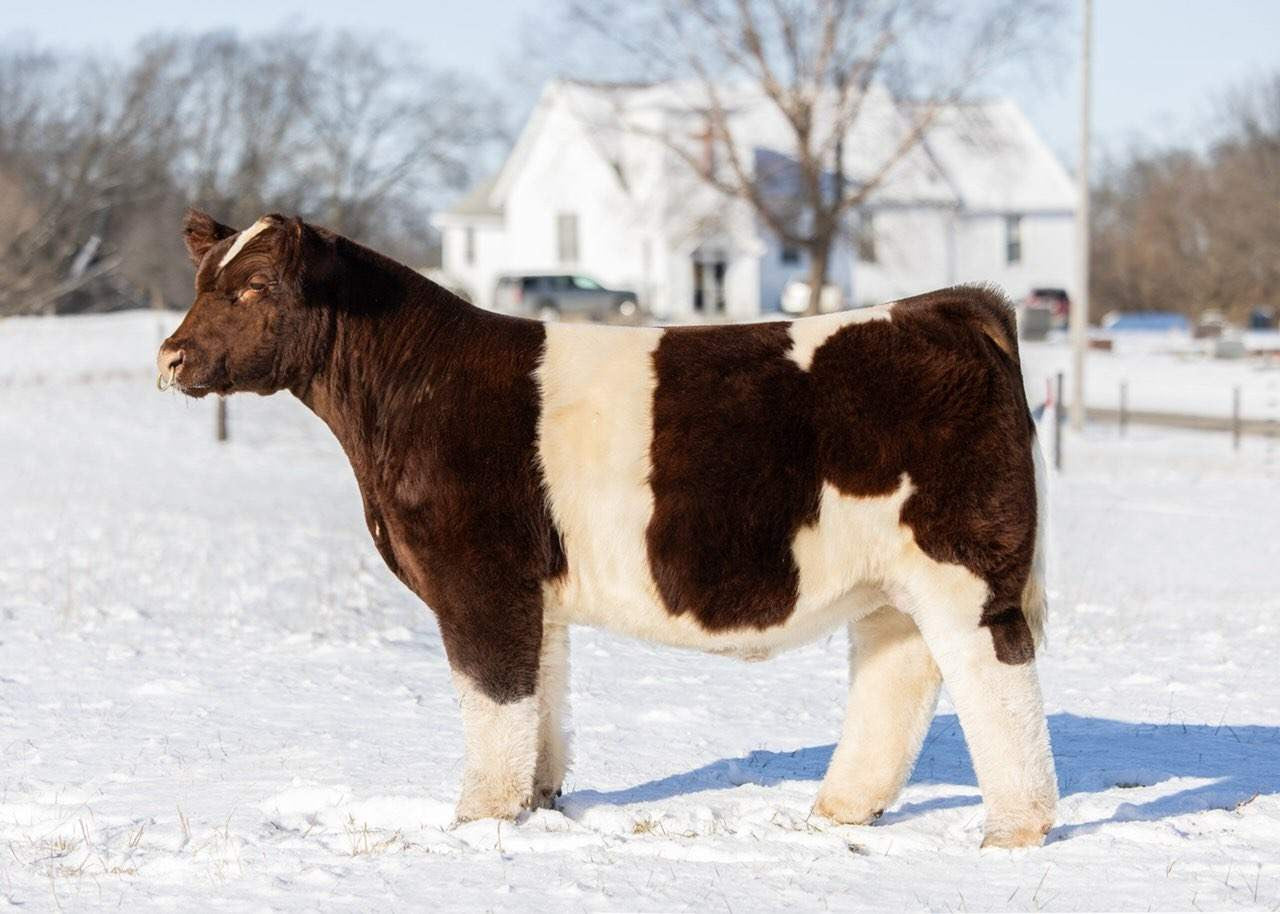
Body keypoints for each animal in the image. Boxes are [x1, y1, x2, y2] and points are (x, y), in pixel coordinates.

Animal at [158, 210, 1057, 848]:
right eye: (202, 280)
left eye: (255, 288)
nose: (170, 357)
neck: (402, 394)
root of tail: (950, 306)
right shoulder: (534, 590)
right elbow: (540, 702)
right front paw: (536, 806)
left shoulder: (479, 577)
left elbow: (493, 699)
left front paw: (476, 823)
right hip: (890, 587)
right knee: (898, 679)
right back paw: (839, 812)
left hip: (964, 567)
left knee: (997, 677)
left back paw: (1015, 829)